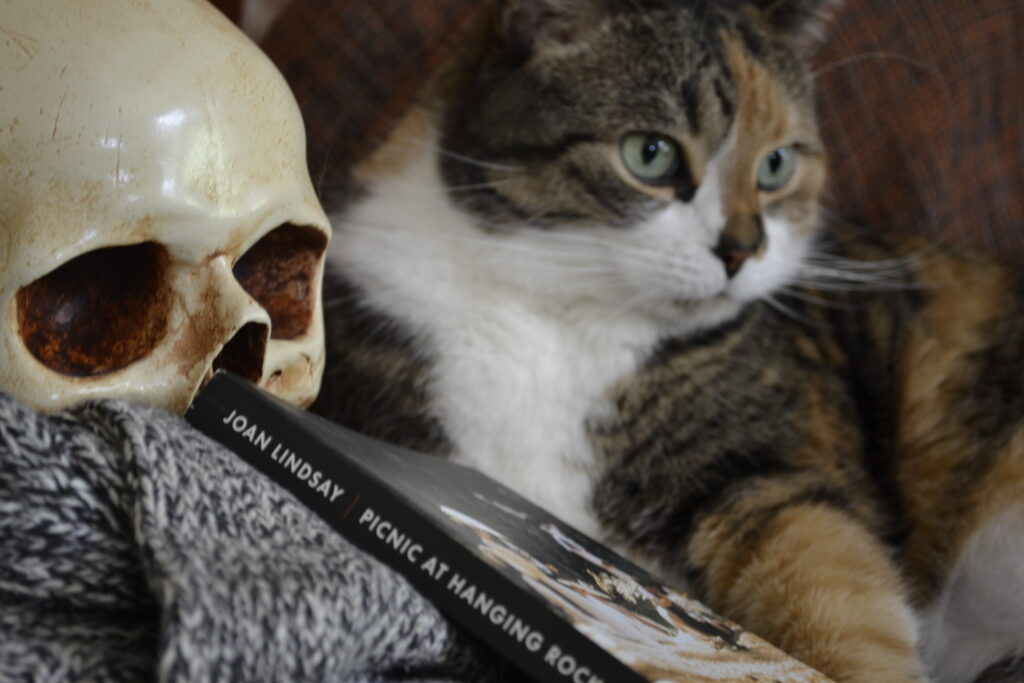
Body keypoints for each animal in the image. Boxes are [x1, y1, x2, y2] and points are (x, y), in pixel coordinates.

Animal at [311, 2, 1024, 679]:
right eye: (649, 154)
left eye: (776, 165)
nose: (742, 248)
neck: (562, 316)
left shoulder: (773, 482)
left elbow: (838, 608)